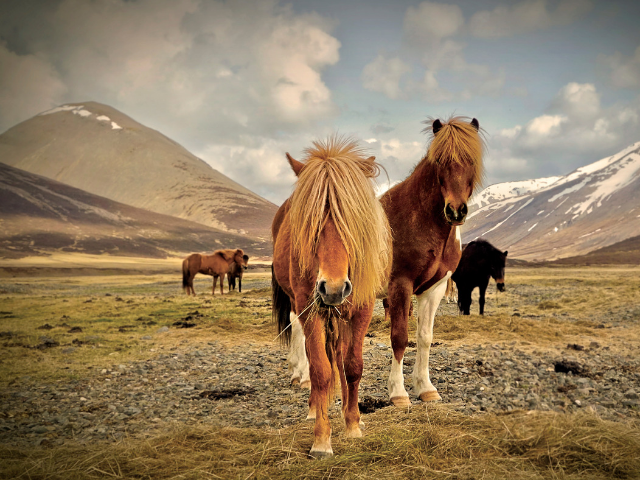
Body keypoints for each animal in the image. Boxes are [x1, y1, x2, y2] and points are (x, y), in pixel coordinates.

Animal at [270, 136, 390, 458]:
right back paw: (315, 407)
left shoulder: (361, 308)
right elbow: (321, 370)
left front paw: (353, 424)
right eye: (311, 223)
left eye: (354, 221)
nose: (333, 288)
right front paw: (322, 439)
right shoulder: (309, 310)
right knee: (317, 359)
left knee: (340, 355)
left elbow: (353, 366)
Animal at [382, 115, 482, 404]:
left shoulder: (434, 288)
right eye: (439, 161)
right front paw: (398, 392)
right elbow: (399, 337)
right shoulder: (400, 285)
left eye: (472, 160)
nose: (456, 211)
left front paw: (425, 387)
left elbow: (425, 336)